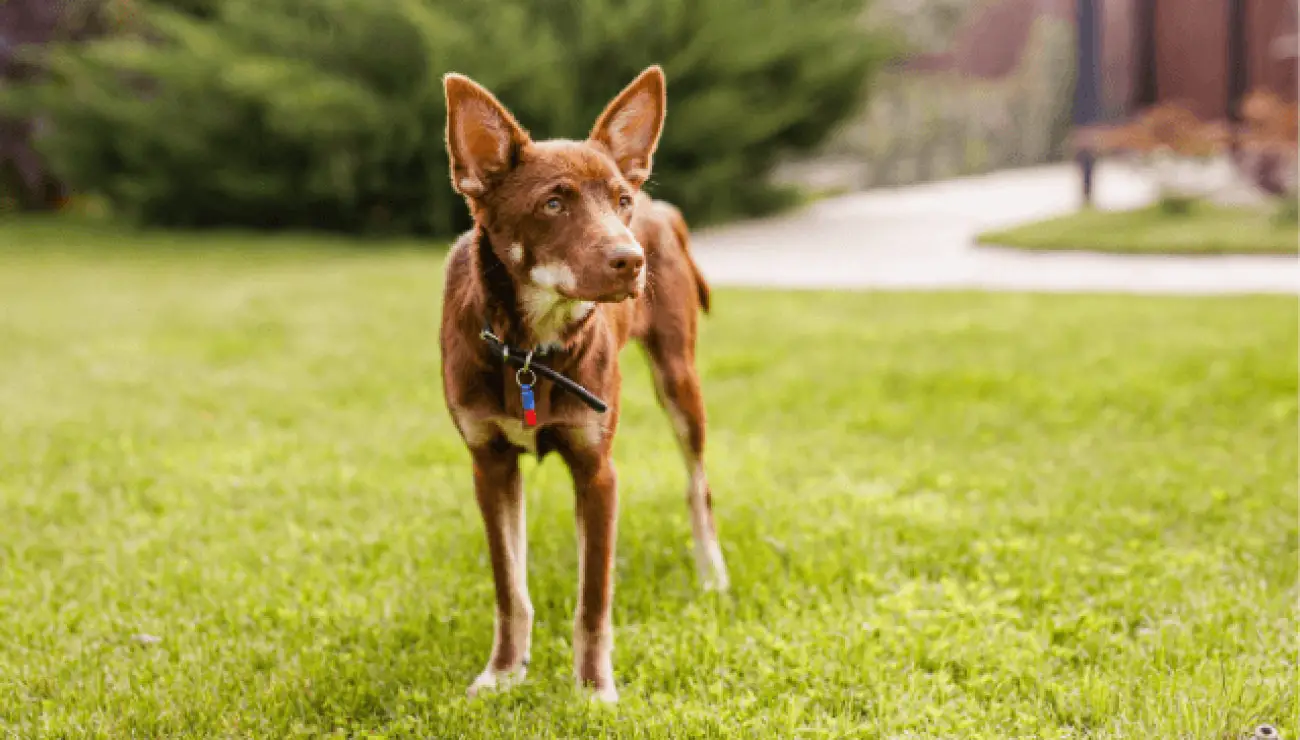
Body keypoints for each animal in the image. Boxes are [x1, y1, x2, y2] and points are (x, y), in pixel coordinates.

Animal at [441, 66, 733, 702]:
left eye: (620, 202)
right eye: (553, 203)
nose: (632, 260)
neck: (531, 348)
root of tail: (661, 204)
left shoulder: (597, 469)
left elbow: (593, 598)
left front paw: (594, 689)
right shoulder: (489, 464)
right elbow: (510, 588)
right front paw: (504, 672)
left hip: (680, 382)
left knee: (698, 486)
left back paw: (712, 575)